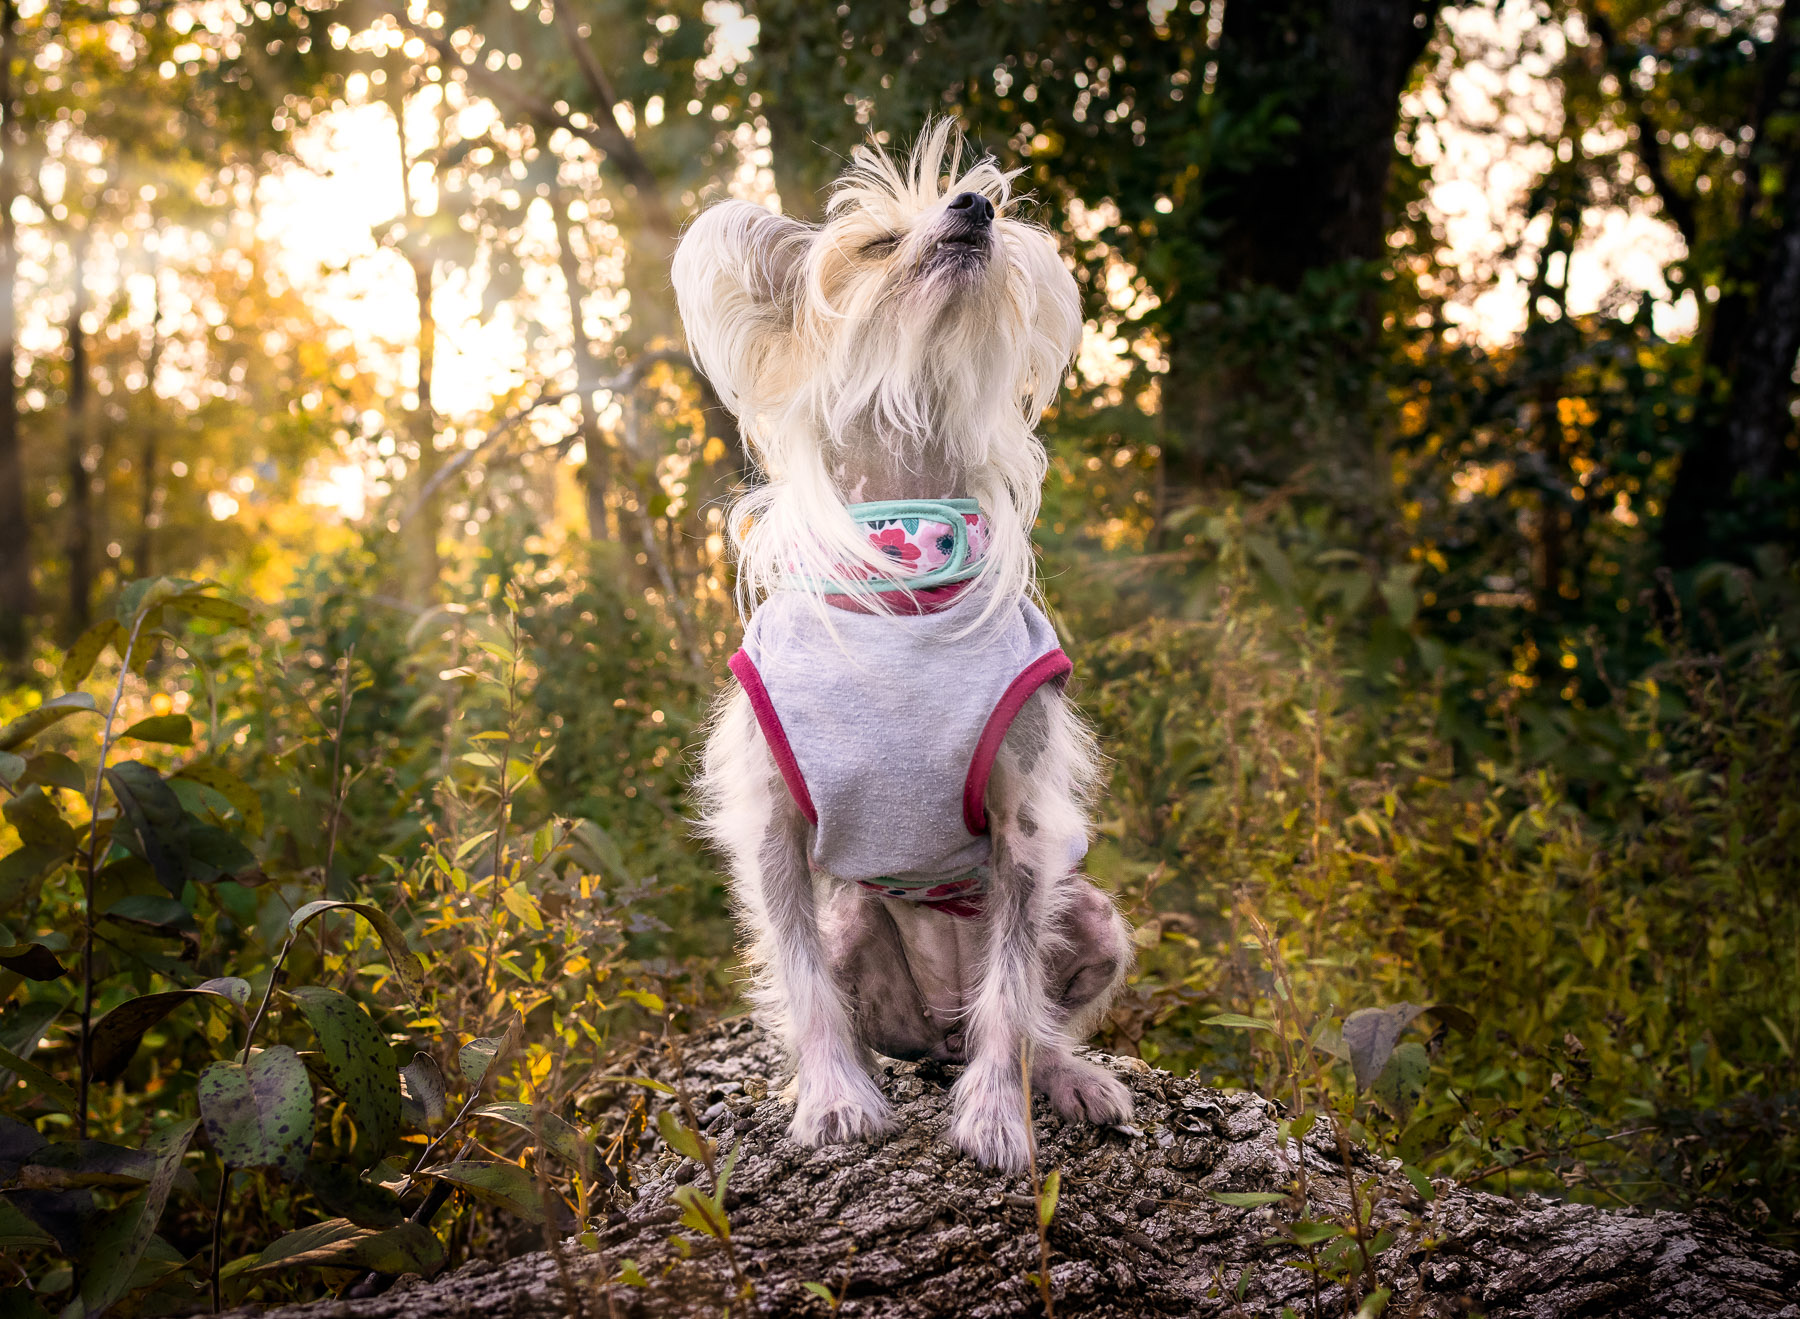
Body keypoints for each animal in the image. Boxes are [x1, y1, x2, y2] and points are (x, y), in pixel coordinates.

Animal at [669, 120, 1130, 1173]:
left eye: (986, 210)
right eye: (880, 243)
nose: (976, 207)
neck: (903, 581)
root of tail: (938, 1027)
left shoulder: (1025, 826)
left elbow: (1014, 989)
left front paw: (997, 1115)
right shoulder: (769, 825)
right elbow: (800, 978)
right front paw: (834, 1098)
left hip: (1091, 912)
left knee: (1023, 1011)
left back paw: (1063, 1076)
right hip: (856, 925)